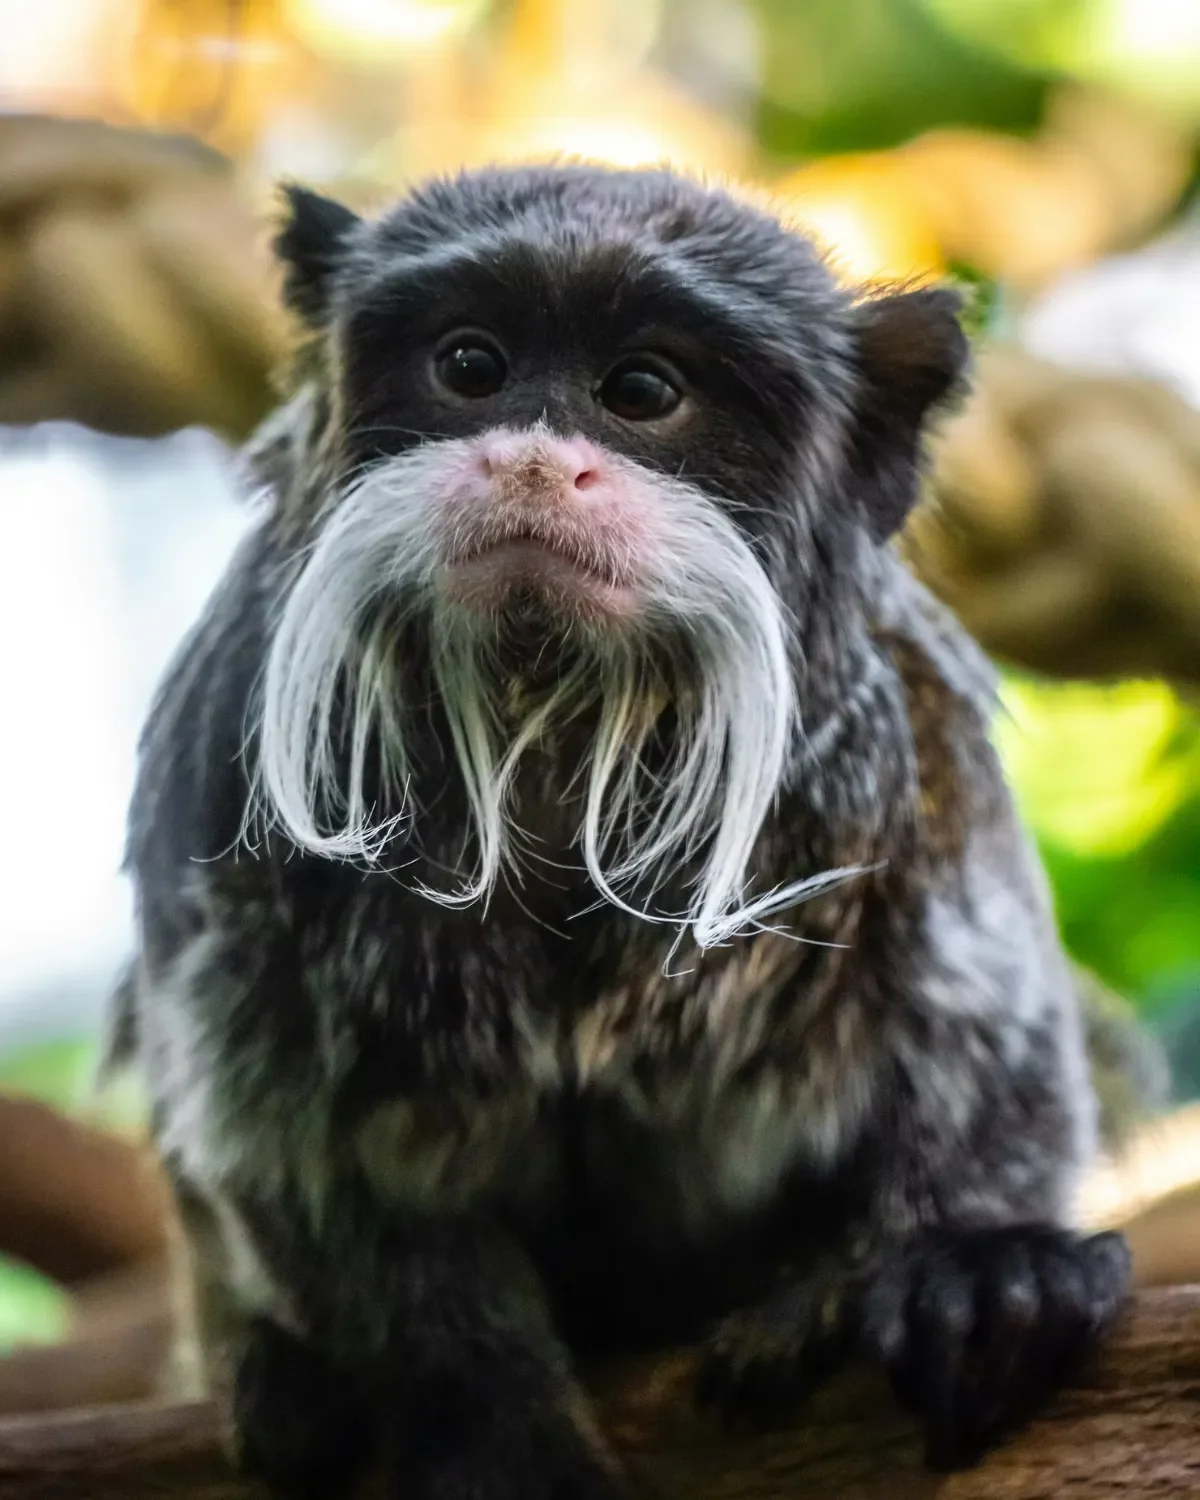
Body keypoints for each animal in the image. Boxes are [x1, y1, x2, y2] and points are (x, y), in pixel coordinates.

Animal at [105, 163, 1132, 1498]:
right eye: (471, 366)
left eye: (641, 392)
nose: (535, 463)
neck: (554, 722)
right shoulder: (234, 759)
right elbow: (308, 1166)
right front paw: (491, 1417)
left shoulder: (907, 758)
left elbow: (987, 1051)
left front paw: (975, 1270)